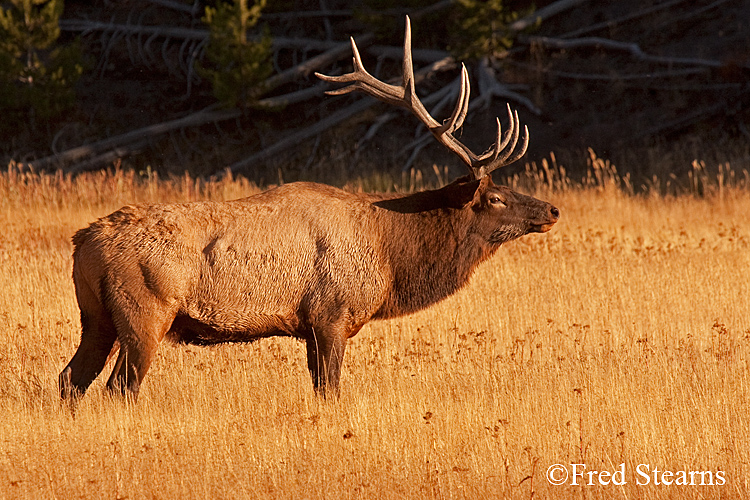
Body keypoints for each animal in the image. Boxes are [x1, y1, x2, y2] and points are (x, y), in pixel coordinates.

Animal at [60, 16, 560, 402]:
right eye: (495, 198)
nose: (552, 211)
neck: (391, 255)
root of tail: (83, 241)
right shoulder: (331, 314)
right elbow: (331, 391)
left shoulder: (313, 326)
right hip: (145, 309)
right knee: (118, 387)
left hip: (95, 315)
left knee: (70, 379)